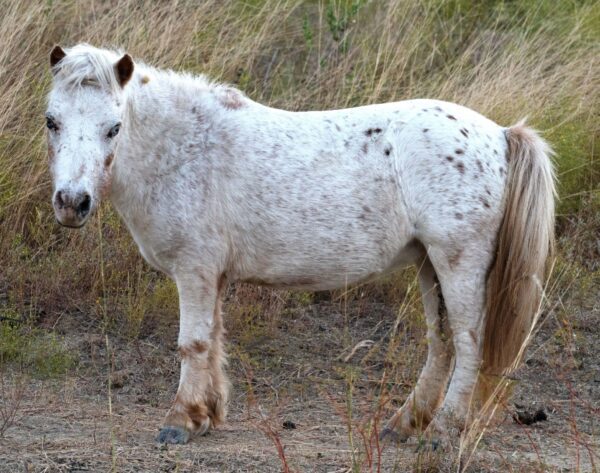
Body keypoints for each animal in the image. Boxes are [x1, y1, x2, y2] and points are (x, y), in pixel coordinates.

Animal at [45, 44, 552, 446]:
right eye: (52, 122)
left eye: (113, 127)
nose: (72, 202)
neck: (186, 147)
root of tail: (500, 135)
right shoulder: (213, 277)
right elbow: (214, 340)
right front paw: (207, 414)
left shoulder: (195, 270)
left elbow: (193, 342)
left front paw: (181, 420)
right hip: (431, 265)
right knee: (441, 345)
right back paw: (404, 424)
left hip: (457, 262)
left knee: (468, 345)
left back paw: (443, 433)